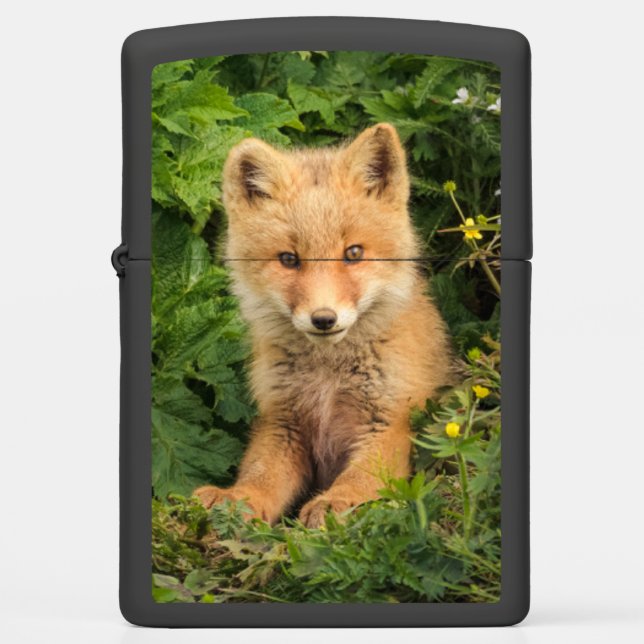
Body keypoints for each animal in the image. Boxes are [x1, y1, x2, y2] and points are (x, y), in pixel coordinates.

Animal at [194, 123, 452, 527]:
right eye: (289, 259)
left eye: (353, 253)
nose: (324, 318)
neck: (328, 377)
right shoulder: (282, 423)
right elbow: (260, 475)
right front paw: (236, 498)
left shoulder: (389, 422)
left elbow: (363, 477)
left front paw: (338, 501)